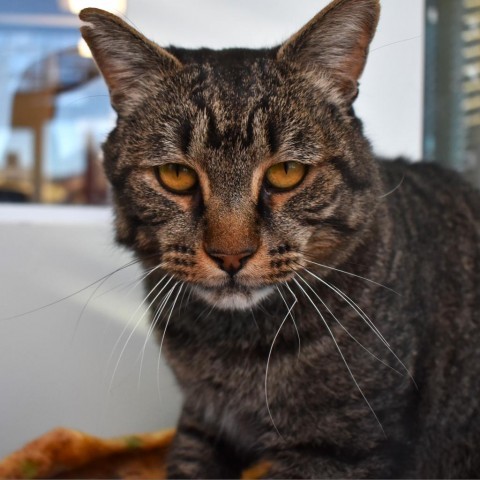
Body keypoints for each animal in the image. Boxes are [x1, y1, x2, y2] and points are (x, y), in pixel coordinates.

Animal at [80, 0, 480, 476]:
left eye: (286, 172)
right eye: (175, 175)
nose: (230, 255)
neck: (230, 348)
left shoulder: (341, 447)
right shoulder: (201, 420)